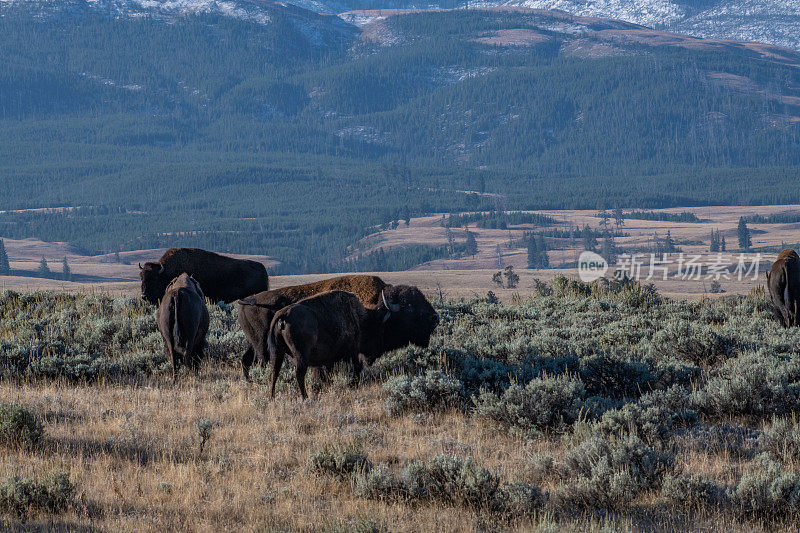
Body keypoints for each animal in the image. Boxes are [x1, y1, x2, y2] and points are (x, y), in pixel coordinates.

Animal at [238, 272, 438, 380]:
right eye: (409, 307)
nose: (435, 318)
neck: (376, 308)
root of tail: (245, 302)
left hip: (252, 343)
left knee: (246, 360)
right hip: (262, 346)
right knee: (260, 362)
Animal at [266, 288, 396, 396]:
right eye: (379, 331)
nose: (375, 355)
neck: (358, 317)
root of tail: (284, 314)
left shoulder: (329, 360)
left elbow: (328, 375)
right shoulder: (352, 351)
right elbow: (356, 367)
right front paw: (352, 385)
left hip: (277, 352)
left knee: (274, 373)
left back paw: (272, 398)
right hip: (300, 356)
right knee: (298, 375)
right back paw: (305, 398)